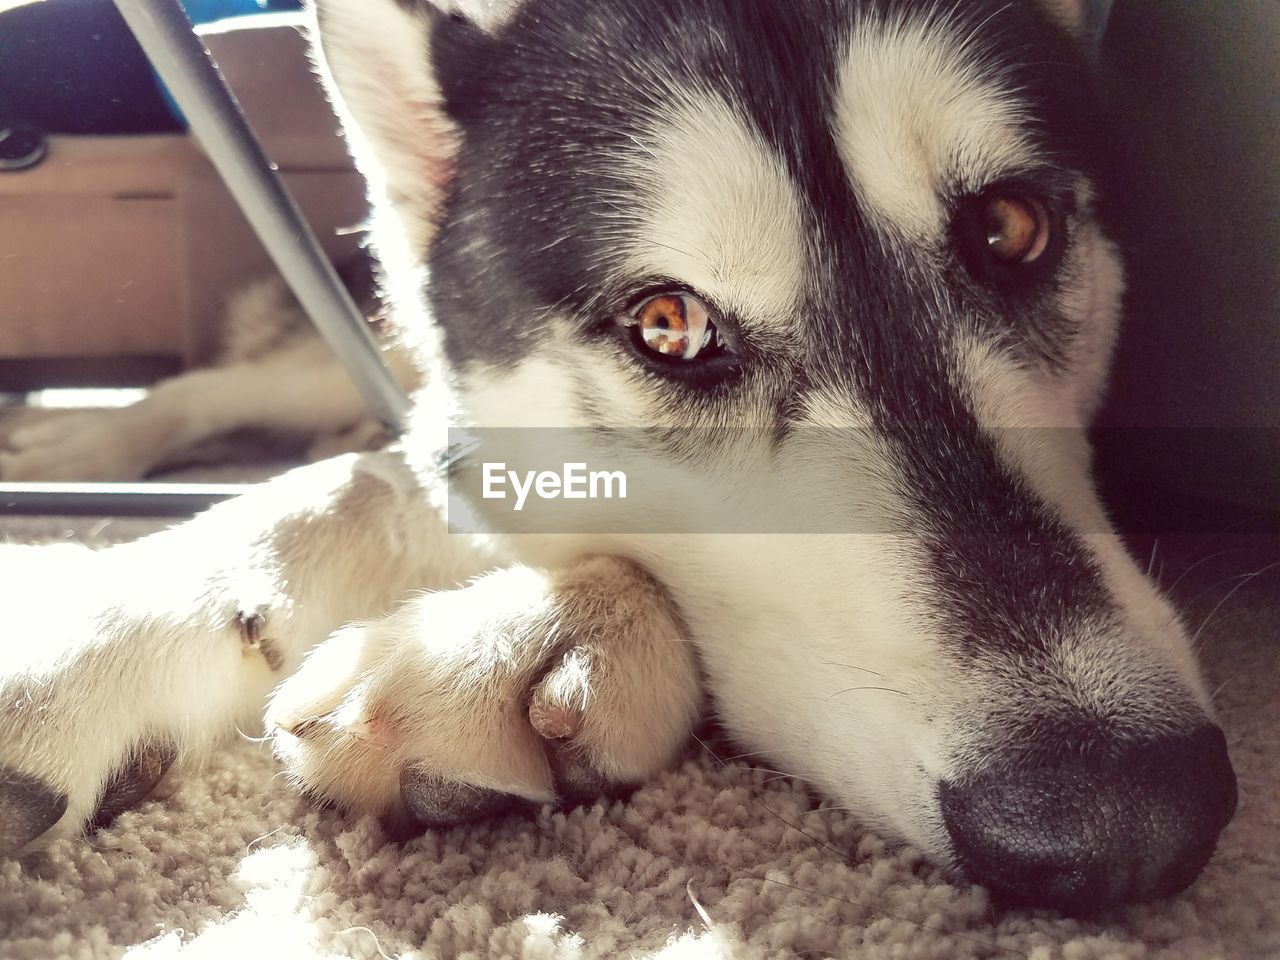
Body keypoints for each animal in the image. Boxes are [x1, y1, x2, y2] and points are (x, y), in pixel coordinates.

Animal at [2, 0, 1239, 916]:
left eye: (1009, 228)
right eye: (667, 325)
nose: (1123, 819)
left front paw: (521, 636)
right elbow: (352, 489)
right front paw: (88, 639)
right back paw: (82, 431)